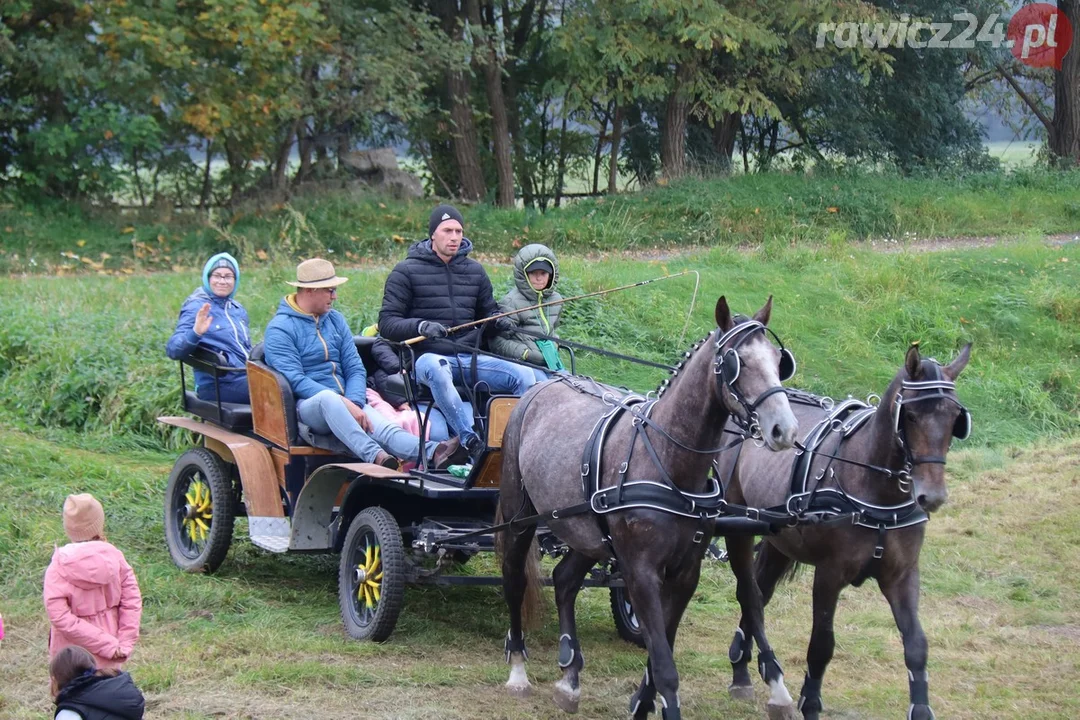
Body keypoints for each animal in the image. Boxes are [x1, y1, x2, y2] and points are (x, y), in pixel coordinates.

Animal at [496, 297, 803, 720]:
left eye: (778, 360)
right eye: (736, 362)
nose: (784, 430)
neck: (666, 459)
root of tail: (545, 384)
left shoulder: (684, 573)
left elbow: (662, 651)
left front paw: (641, 703)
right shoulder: (640, 571)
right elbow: (665, 665)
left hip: (585, 533)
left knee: (564, 580)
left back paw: (570, 679)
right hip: (519, 517)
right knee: (514, 580)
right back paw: (517, 671)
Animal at [717, 343, 972, 720]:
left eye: (955, 418)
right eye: (910, 416)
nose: (933, 496)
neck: (874, 490)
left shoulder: (902, 575)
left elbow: (916, 644)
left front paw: (921, 709)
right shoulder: (830, 573)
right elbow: (822, 644)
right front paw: (810, 703)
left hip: (779, 539)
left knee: (759, 594)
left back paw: (743, 669)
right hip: (738, 529)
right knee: (749, 595)